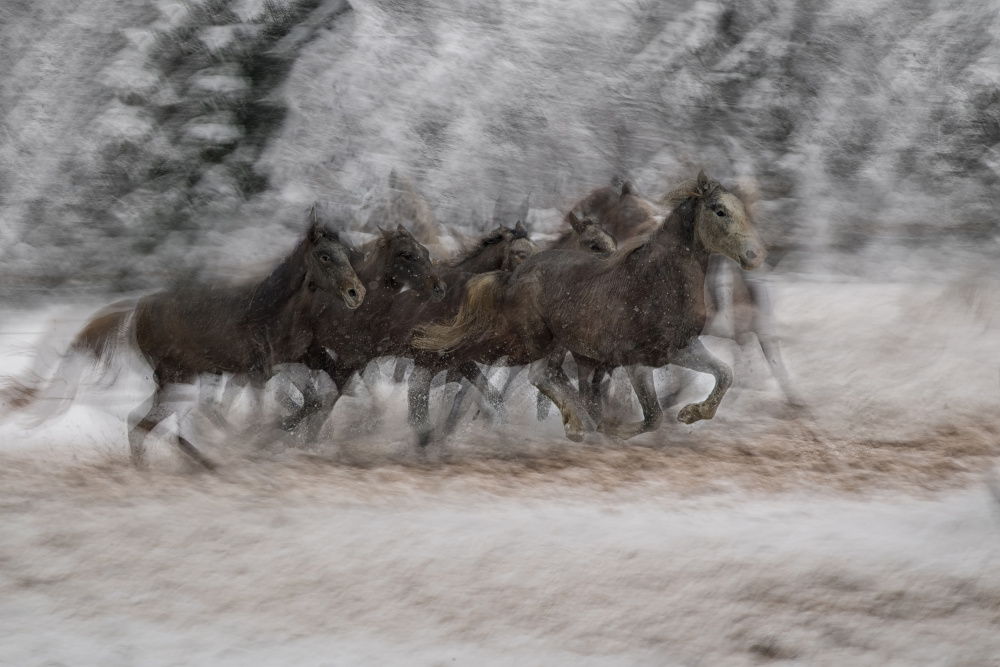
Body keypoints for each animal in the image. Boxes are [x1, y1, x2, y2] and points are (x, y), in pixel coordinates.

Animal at [3, 213, 366, 469]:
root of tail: (137, 309)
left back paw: (206, 462)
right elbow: (277, 407)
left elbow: (315, 399)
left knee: (159, 427)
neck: (272, 312)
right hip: (177, 380)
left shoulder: (291, 364)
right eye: (324, 256)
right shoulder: (258, 372)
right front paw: (258, 438)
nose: (356, 292)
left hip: (185, 382)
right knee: (141, 425)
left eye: (345, 253)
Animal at [414, 170, 766, 442]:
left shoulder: (681, 348)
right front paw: (613, 430)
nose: (753, 256)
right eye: (719, 210)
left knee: (542, 377)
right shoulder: (634, 360)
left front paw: (692, 413)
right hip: (535, 342)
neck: (657, 281)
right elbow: (652, 416)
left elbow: (725, 373)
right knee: (526, 373)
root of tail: (515, 273)